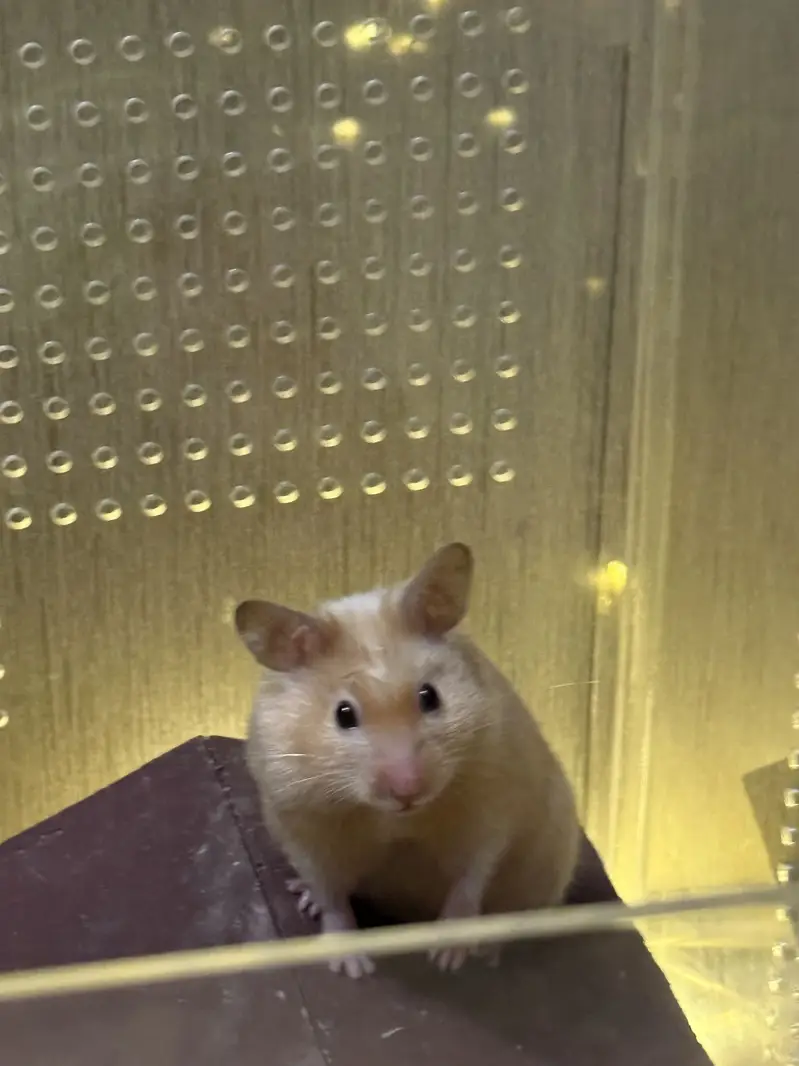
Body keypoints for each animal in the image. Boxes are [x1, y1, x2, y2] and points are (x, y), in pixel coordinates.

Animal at [235, 543, 580, 978]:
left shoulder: (490, 807)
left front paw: (446, 958)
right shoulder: (301, 825)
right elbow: (331, 896)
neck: (395, 819)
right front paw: (353, 968)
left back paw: (487, 952)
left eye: (429, 696)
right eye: (343, 715)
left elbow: (470, 880)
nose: (407, 791)